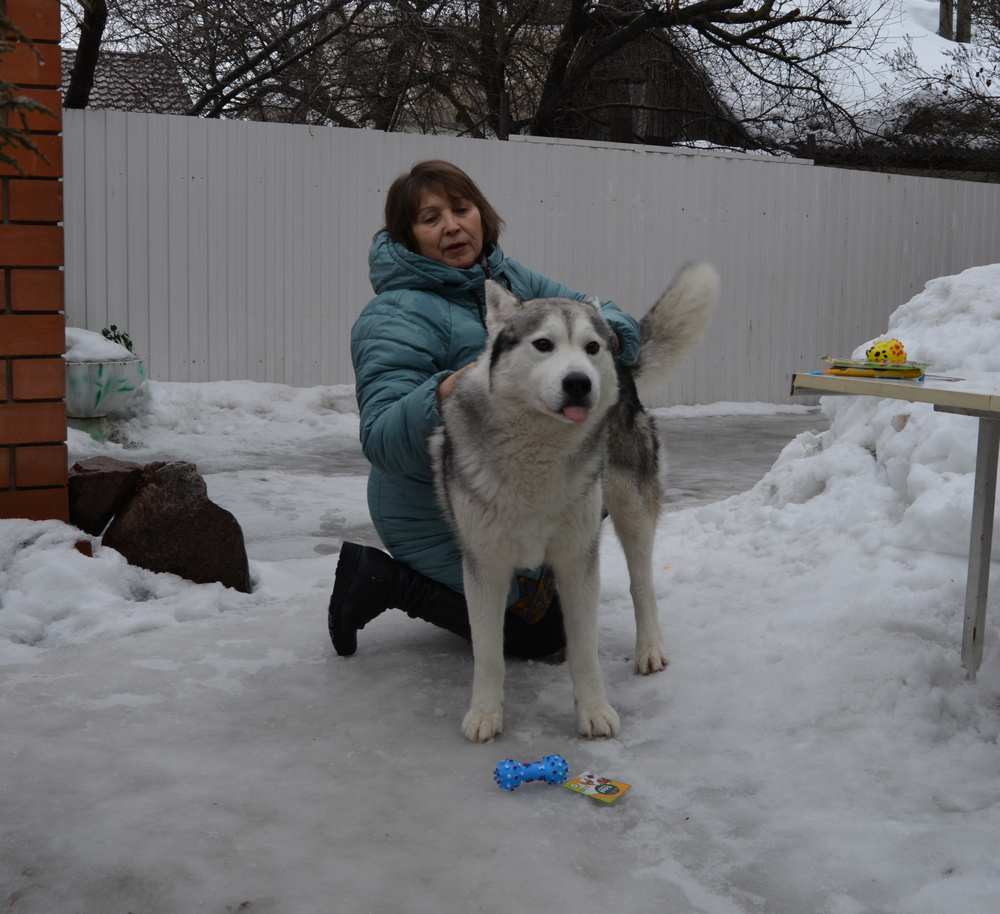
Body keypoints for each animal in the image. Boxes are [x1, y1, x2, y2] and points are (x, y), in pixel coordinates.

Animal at [430, 260, 720, 736]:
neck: (536, 454)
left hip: (630, 509)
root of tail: (625, 366)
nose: (580, 383)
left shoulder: (577, 557)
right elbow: (488, 654)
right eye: (543, 344)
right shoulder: (484, 565)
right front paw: (485, 713)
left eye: (591, 347)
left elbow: (586, 652)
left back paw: (649, 648)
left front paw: (595, 711)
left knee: (642, 584)